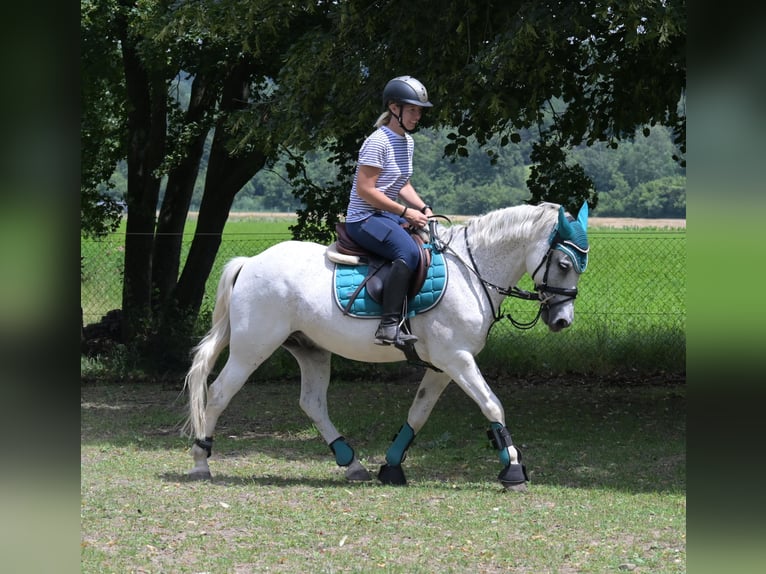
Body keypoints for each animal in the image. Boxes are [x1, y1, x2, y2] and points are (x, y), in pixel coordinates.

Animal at [183, 202, 592, 490]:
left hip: (310, 350)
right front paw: (513, 469)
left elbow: (418, 414)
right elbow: (492, 405)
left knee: (312, 403)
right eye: (564, 263)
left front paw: (392, 466)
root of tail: (251, 262)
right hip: (252, 348)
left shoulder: (444, 366)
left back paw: (352, 464)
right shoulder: (457, 360)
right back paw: (201, 462)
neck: (472, 271)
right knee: (217, 394)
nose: (562, 321)